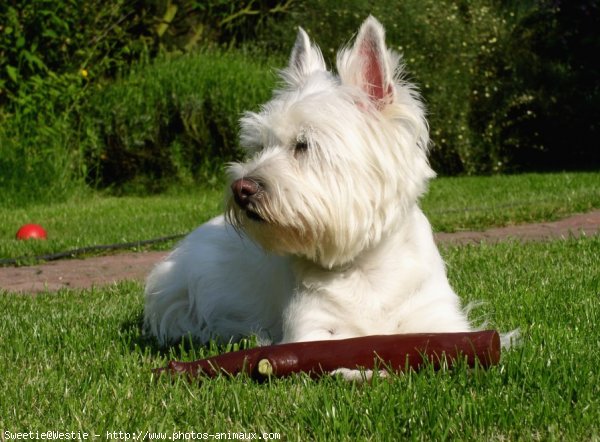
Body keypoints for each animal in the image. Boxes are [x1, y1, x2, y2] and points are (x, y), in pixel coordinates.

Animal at [144, 15, 474, 348]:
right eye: (260, 146)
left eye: (303, 145)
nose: (241, 189)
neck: (362, 267)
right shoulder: (312, 328)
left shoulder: (438, 317)